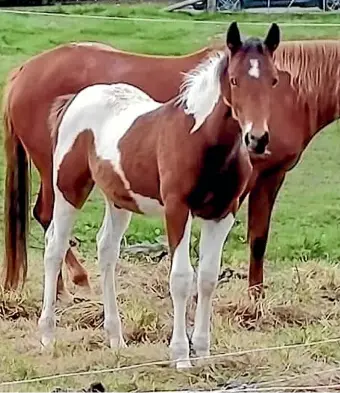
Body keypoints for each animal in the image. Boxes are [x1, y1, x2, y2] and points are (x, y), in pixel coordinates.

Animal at [38, 26, 280, 370]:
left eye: (273, 80)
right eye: (234, 80)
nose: (257, 139)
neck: (202, 141)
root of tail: (76, 98)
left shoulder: (223, 212)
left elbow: (208, 277)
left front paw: (203, 352)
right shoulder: (177, 209)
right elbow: (181, 277)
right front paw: (180, 355)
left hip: (119, 199)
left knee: (106, 249)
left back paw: (116, 339)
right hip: (68, 189)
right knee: (55, 246)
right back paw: (47, 336)